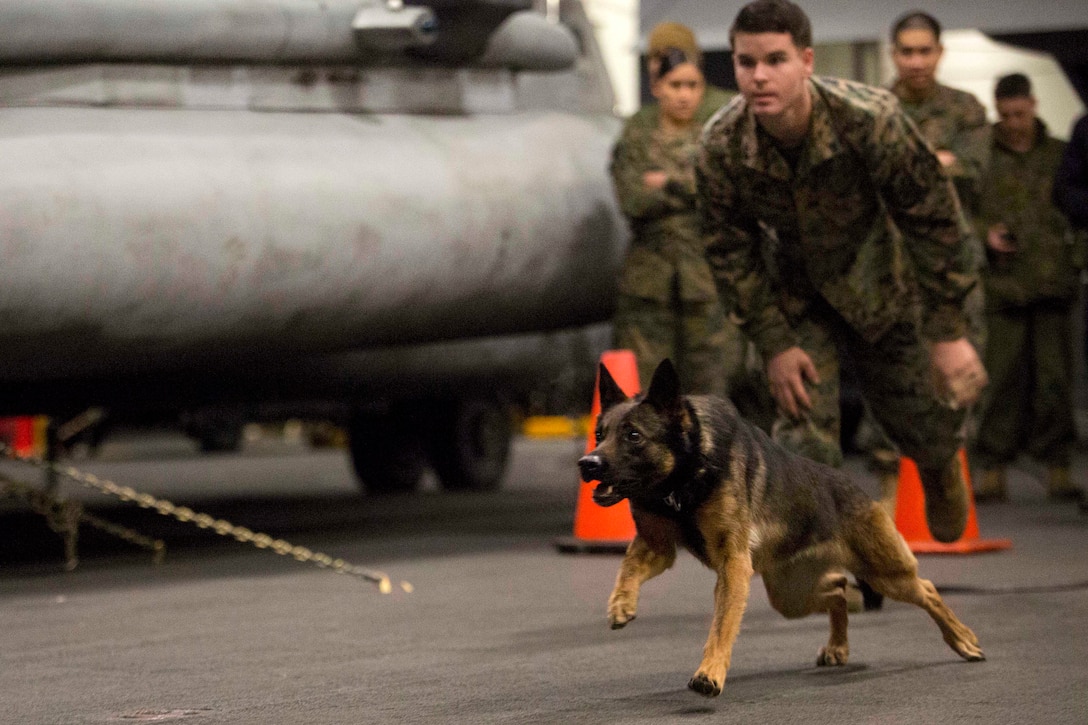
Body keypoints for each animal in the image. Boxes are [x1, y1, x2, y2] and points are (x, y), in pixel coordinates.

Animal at [578, 359, 987, 696]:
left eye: (633, 435)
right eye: (599, 434)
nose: (587, 463)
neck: (685, 473)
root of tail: (857, 489)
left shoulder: (732, 565)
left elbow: (721, 626)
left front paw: (710, 672)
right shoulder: (657, 546)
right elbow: (628, 567)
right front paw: (621, 604)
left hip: (885, 574)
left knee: (927, 590)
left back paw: (963, 639)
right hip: (790, 596)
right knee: (839, 590)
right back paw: (839, 645)